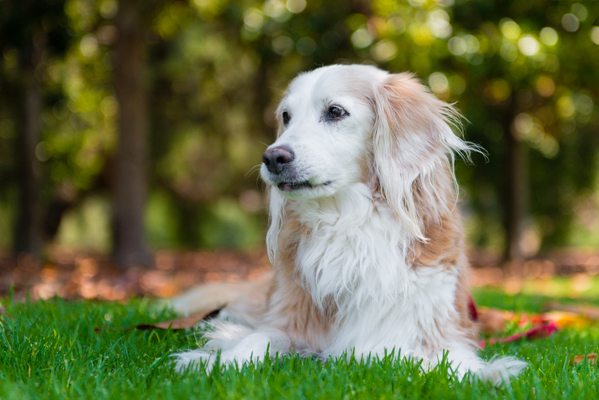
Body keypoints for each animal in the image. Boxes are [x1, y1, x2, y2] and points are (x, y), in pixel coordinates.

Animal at [171, 65, 528, 384]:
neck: (349, 222)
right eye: (286, 116)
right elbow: (260, 336)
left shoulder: (434, 326)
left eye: (335, 111)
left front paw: (488, 374)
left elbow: (438, 360)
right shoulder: (292, 319)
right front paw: (219, 361)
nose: (272, 157)